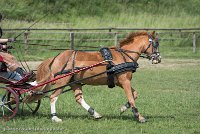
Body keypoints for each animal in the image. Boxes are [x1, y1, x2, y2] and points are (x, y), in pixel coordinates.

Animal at [27, 31, 161, 122]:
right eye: (156, 43)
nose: (158, 59)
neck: (124, 55)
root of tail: (56, 57)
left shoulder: (120, 82)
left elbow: (135, 94)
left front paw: (123, 108)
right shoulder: (124, 81)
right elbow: (132, 98)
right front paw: (139, 116)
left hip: (74, 82)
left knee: (79, 98)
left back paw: (94, 113)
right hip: (62, 81)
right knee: (53, 97)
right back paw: (55, 118)